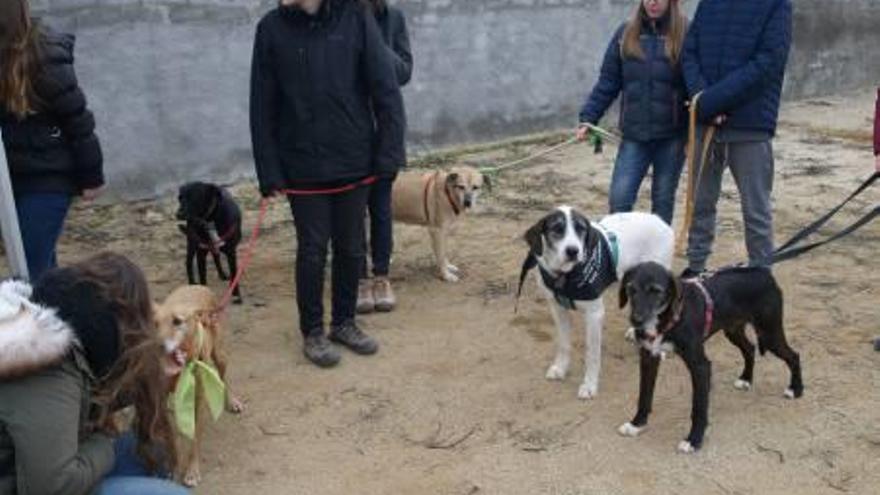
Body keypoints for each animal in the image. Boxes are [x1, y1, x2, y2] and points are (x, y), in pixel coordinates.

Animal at [154, 286, 244, 488]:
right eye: (155, 324)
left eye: (177, 321)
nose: (159, 345)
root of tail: (197, 286)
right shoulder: (160, 400)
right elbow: (171, 438)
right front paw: (172, 468)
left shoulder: (199, 401)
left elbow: (194, 438)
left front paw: (192, 471)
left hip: (220, 355)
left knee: (224, 378)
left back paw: (232, 401)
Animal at [520, 207, 672, 402]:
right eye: (557, 228)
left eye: (581, 229)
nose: (573, 251)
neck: (566, 276)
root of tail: (659, 220)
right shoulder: (557, 309)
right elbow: (563, 344)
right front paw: (561, 368)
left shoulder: (594, 315)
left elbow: (592, 354)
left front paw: (589, 385)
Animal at [616, 264, 800, 454]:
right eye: (631, 289)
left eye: (656, 291)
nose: (636, 320)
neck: (670, 317)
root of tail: (764, 273)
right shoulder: (648, 358)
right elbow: (644, 396)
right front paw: (636, 424)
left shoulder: (700, 366)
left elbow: (698, 407)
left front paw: (694, 440)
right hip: (733, 330)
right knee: (750, 349)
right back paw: (746, 378)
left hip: (769, 333)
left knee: (794, 356)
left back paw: (795, 389)